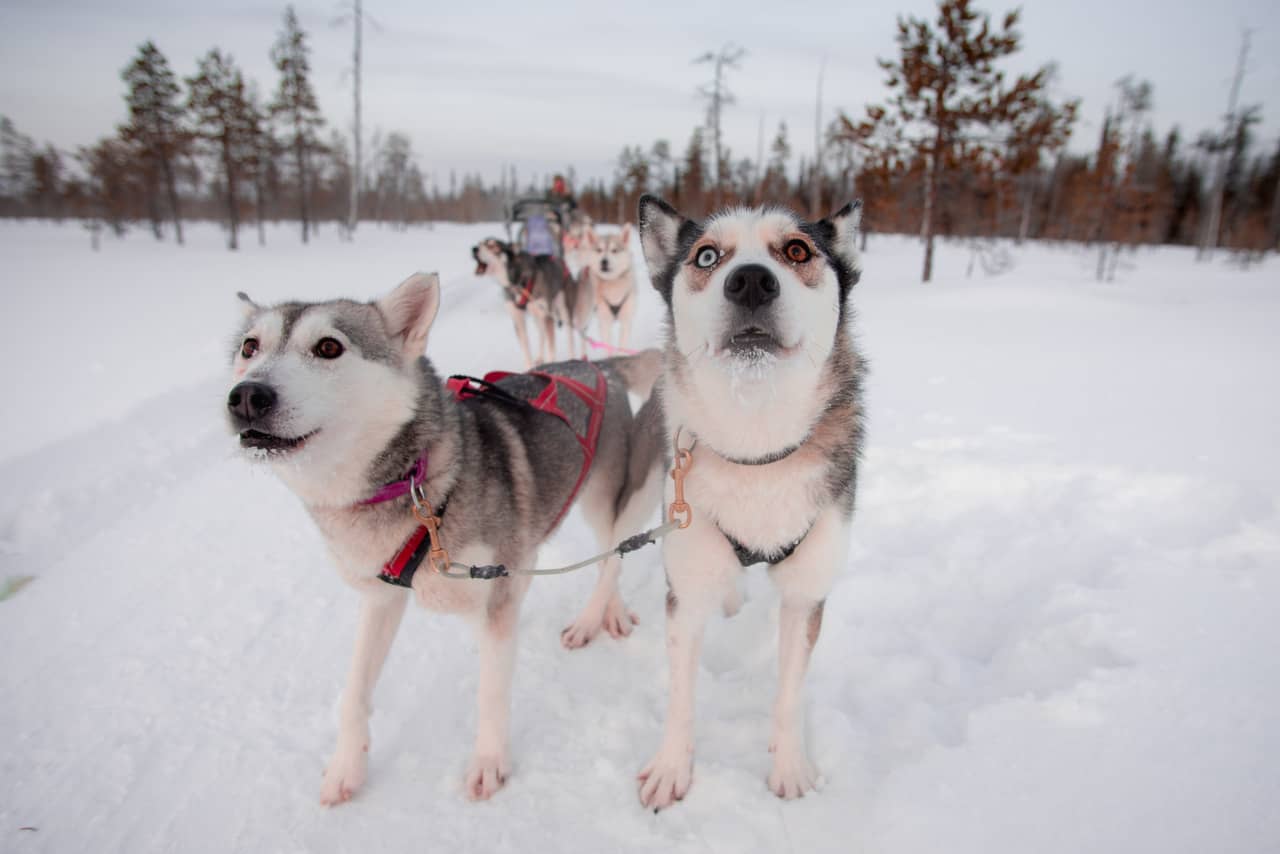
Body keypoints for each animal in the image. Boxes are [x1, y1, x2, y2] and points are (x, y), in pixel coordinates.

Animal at [230, 277, 665, 804]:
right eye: (250, 347)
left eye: (328, 347)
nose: (246, 396)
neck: (416, 484)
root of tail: (596, 366)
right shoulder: (382, 597)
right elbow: (354, 691)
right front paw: (346, 768)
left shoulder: (493, 606)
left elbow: (491, 692)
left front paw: (489, 763)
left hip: (607, 496)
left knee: (613, 555)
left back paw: (596, 616)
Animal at [583, 225, 637, 353]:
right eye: (599, 250)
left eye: (614, 250)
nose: (604, 261)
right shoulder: (604, 322)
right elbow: (608, 346)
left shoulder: (626, 321)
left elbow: (623, 346)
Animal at [632, 197, 865, 814]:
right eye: (707, 256)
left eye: (798, 250)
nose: (753, 281)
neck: (757, 449)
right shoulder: (686, 592)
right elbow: (681, 695)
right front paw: (672, 769)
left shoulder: (807, 596)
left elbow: (789, 695)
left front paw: (789, 770)